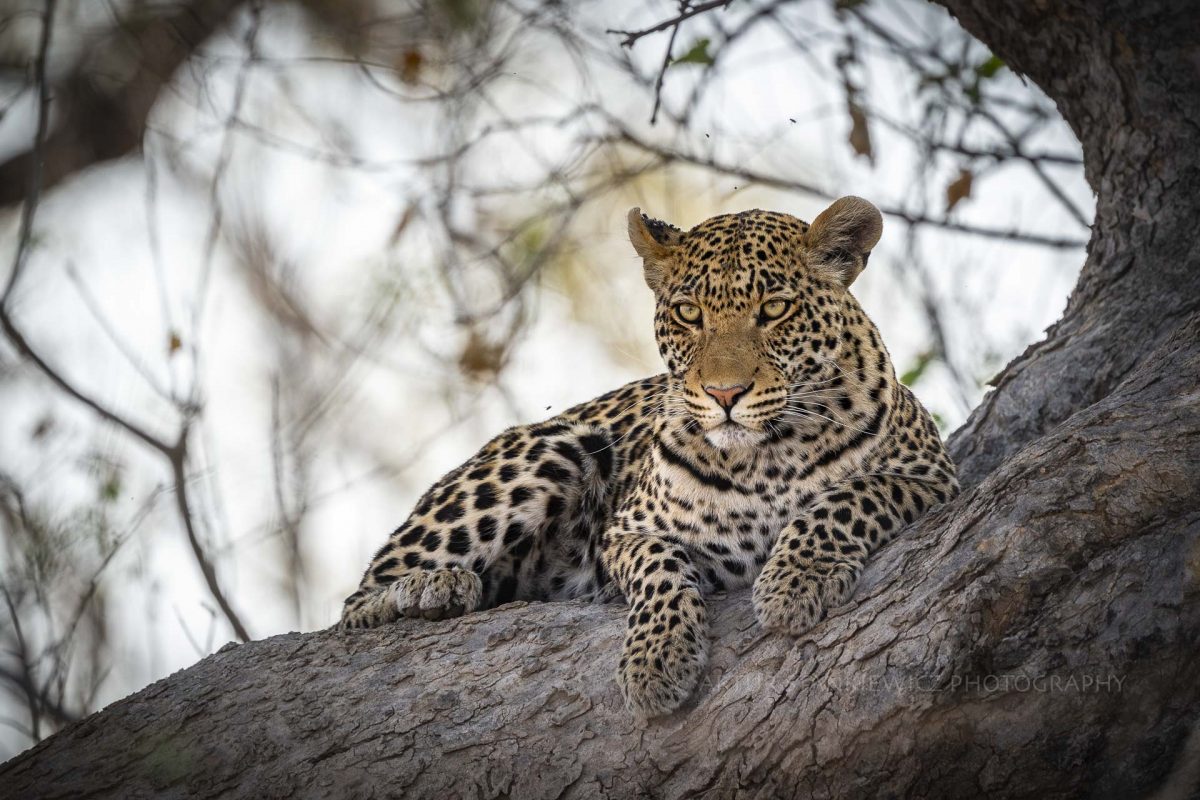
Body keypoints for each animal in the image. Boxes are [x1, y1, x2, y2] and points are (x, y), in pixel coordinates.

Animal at [338, 195, 955, 719]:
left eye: (775, 308)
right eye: (688, 314)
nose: (725, 394)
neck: (766, 457)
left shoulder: (931, 476)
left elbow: (847, 498)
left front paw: (795, 580)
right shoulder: (626, 532)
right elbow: (660, 566)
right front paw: (657, 661)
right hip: (556, 447)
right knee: (355, 603)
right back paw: (431, 589)